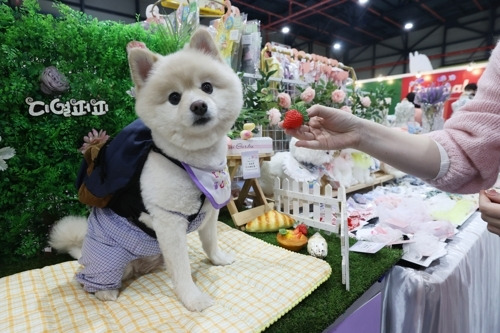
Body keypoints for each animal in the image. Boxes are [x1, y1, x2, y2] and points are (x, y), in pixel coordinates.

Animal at [48, 28, 242, 312]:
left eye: (207, 87)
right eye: (174, 98)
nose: (198, 105)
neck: (194, 164)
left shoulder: (210, 210)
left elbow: (210, 242)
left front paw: (218, 259)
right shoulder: (169, 220)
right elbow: (182, 268)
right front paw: (192, 299)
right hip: (109, 255)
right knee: (89, 278)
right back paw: (106, 291)